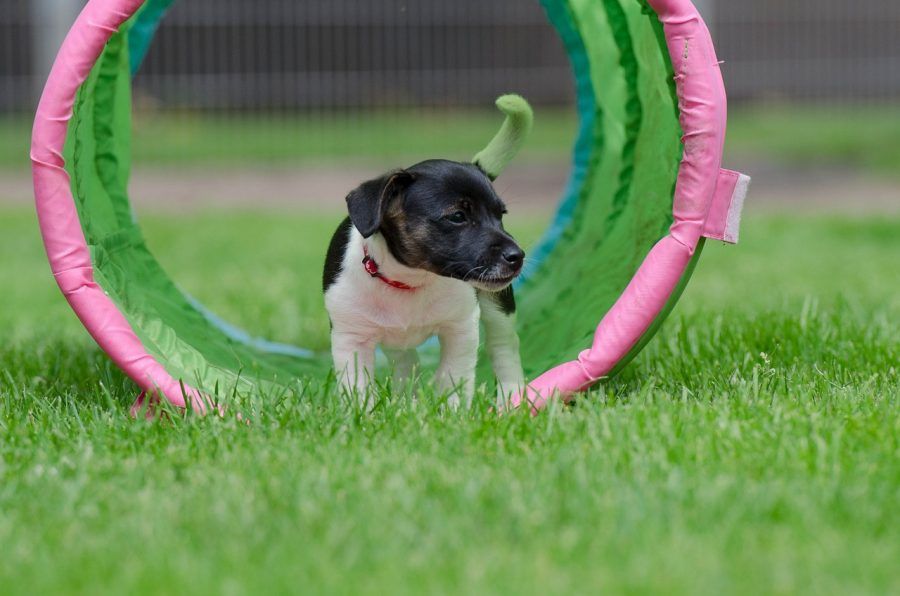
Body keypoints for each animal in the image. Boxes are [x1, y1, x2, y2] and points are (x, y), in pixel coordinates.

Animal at [322, 159, 524, 410]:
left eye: (501, 215)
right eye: (457, 216)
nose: (518, 256)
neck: (411, 279)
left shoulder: (461, 328)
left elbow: (453, 376)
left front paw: (452, 411)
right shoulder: (351, 338)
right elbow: (357, 386)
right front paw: (362, 414)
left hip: (498, 308)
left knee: (504, 347)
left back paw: (511, 397)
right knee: (405, 359)